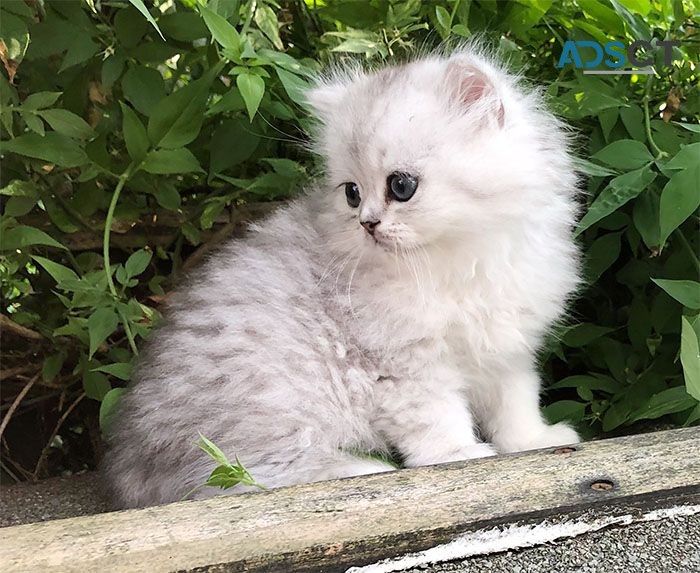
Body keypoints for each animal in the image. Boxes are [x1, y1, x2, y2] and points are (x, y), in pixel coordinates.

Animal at [105, 48, 580, 504]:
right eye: (352, 194)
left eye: (401, 186)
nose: (367, 223)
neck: (457, 261)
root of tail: (129, 462)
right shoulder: (406, 367)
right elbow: (437, 420)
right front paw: (459, 456)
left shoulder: (507, 351)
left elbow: (516, 405)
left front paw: (534, 441)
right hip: (271, 411)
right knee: (242, 477)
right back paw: (363, 469)